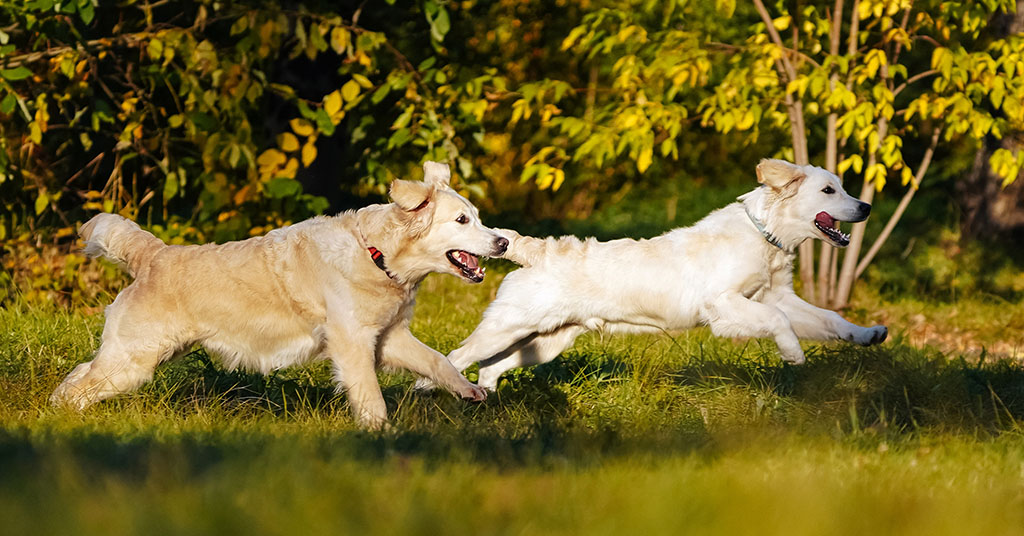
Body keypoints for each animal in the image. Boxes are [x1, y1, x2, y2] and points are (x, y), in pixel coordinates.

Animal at [423, 158, 888, 389]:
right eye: (828, 191)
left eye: (843, 187)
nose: (866, 206)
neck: (764, 236)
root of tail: (533, 250)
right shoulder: (723, 304)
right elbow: (779, 323)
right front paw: (792, 353)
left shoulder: (778, 297)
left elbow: (830, 319)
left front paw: (867, 334)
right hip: (506, 327)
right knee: (457, 356)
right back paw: (432, 391)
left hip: (546, 342)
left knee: (489, 368)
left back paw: (481, 396)